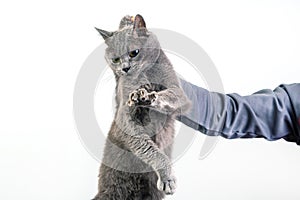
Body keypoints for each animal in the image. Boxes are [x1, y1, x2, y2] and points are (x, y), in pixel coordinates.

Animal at [93, 14, 190, 199]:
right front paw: (167, 178)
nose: (125, 68)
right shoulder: (126, 117)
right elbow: (149, 148)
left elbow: (169, 95)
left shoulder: (180, 94)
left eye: (134, 53)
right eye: (115, 59)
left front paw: (148, 97)